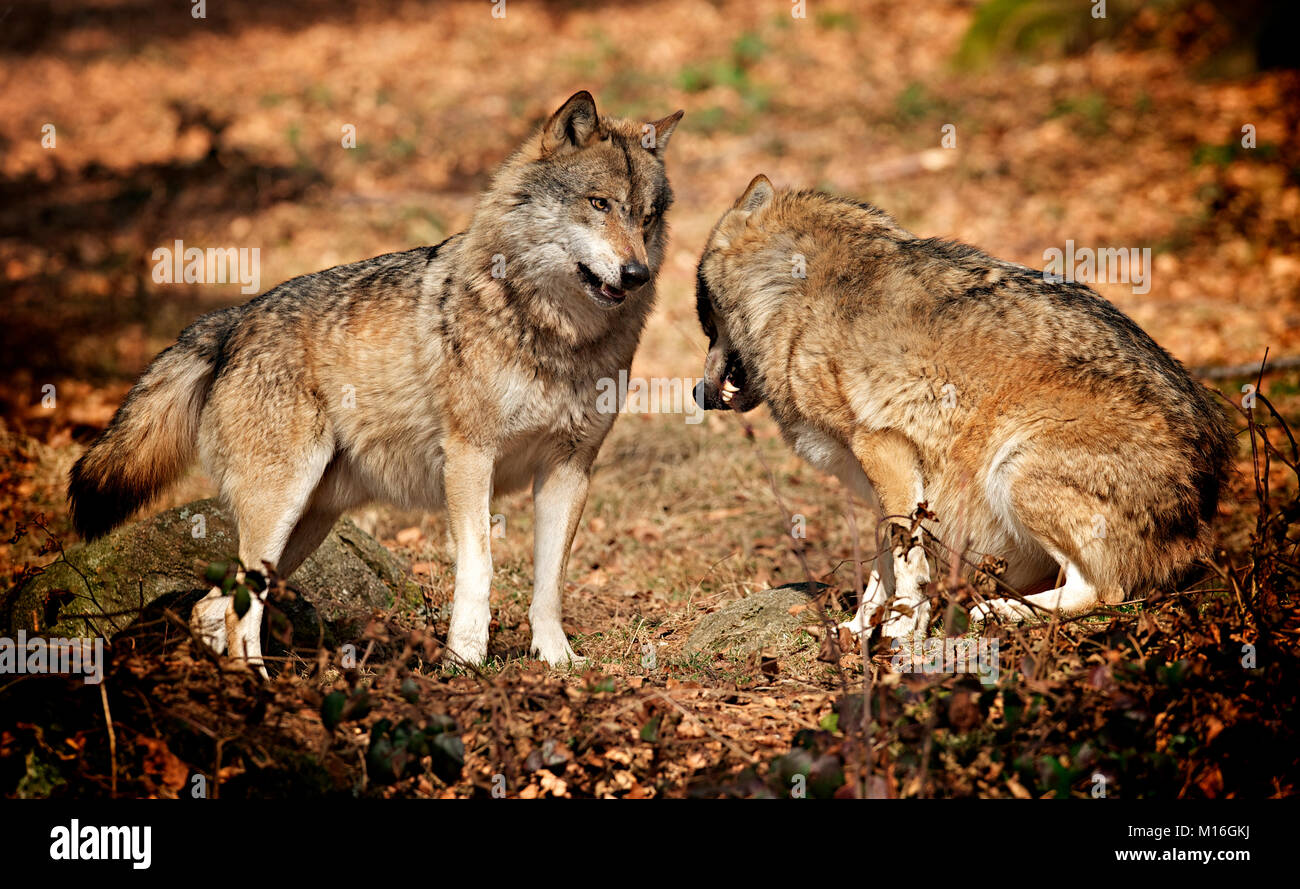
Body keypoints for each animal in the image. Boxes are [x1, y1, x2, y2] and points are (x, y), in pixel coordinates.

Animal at [67, 93, 686, 670]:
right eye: (599, 204)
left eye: (647, 217)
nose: (637, 273)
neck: (557, 335)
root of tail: (233, 320)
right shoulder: (469, 458)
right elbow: (480, 570)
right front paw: (465, 662)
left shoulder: (570, 468)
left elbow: (550, 585)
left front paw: (557, 662)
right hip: (283, 507)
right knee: (238, 612)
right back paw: (260, 686)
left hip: (306, 527)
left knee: (211, 608)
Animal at [691, 175, 1227, 639]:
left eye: (705, 321)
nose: (696, 393)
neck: (788, 292)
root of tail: (1206, 513)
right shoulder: (884, 475)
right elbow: (881, 568)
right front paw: (858, 630)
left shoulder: (883, 450)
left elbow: (904, 560)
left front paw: (903, 629)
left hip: (1014, 467)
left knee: (1106, 591)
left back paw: (1001, 612)